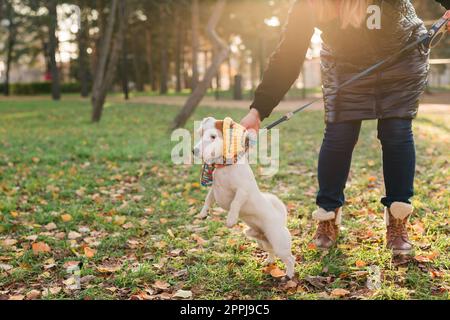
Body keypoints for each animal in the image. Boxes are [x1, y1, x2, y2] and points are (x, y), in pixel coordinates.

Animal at [193, 117, 296, 278]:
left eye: (213, 136)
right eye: (200, 133)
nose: (194, 151)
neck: (225, 166)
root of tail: (280, 219)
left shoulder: (242, 191)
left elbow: (235, 203)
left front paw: (230, 220)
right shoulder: (214, 189)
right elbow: (208, 200)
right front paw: (203, 213)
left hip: (280, 244)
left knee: (291, 259)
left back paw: (289, 275)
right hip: (263, 242)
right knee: (271, 251)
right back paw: (269, 261)